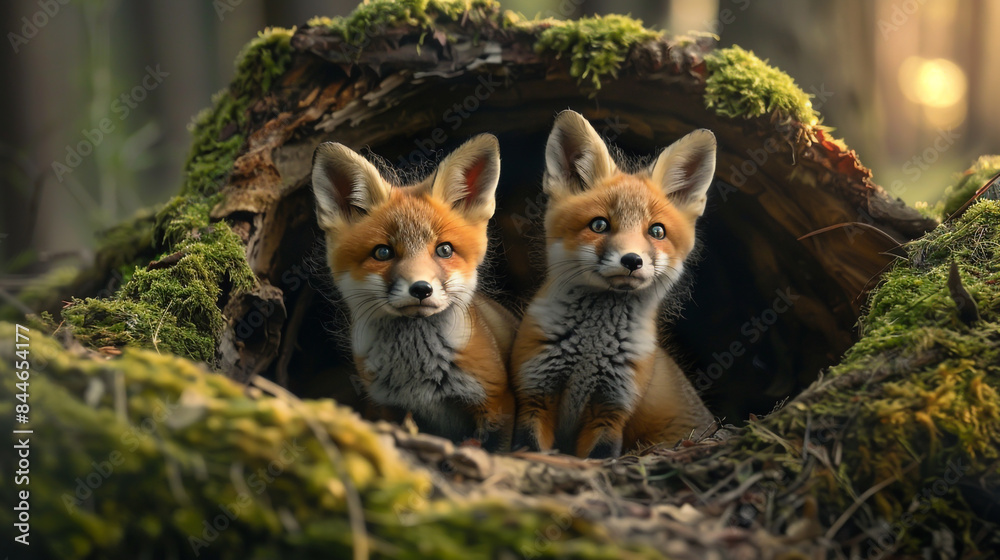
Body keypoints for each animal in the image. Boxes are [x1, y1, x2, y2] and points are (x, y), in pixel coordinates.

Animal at [311, 135, 518, 451]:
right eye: (383, 252)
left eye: (444, 250)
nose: (421, 289)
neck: (418, 374)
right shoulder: (385, 407)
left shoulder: (497, 402)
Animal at [511, 110, 718, 459]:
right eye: (599, 225)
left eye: (657, 231)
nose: (632, 260)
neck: (590, 350)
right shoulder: (535, 396)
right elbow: (529, 447)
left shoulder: (611, 411)